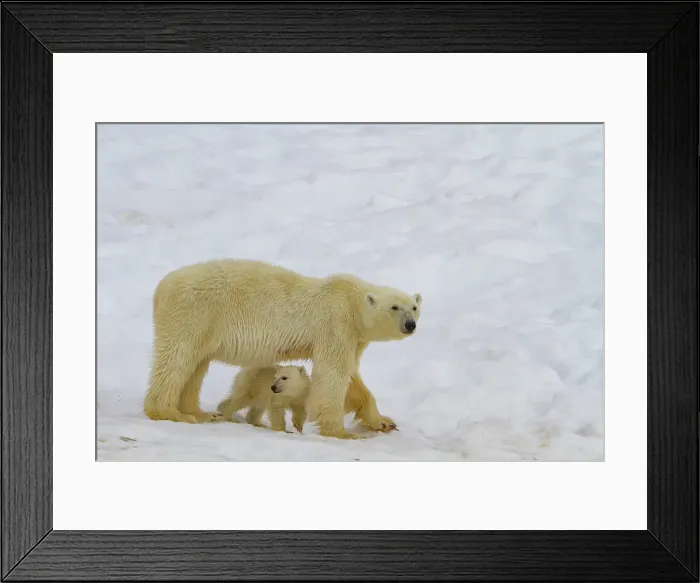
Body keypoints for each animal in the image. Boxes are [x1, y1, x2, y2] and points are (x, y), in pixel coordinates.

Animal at [142, 258, 421, 439]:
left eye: (414, 307)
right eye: (395, 307)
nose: (410, 325)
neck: (352, 302)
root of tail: (160, 288)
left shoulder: (353, 337)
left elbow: (351, 376)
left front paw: (383, 422)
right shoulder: (336, 323)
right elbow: (332, 374)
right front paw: (341, 432)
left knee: (196, 365)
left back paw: (199, 412)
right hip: (194, 312)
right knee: (178, 358)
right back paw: (171, 412)